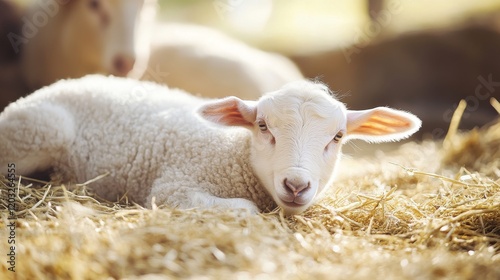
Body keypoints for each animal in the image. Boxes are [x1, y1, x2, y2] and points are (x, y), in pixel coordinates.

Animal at [0, 75, 422, 214]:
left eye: (337, 137)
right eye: (263, 126)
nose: (296, 185)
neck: (232, 152)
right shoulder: (172, 188)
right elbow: (246, 210)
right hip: (39, 130)